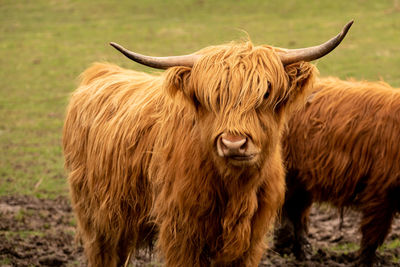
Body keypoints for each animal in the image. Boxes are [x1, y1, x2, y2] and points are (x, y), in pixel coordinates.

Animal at [63, 21, 354, 267]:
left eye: (266, 93)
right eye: (209, 98)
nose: (234, 144)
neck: (235, 190)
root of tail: (103, 72)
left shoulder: (251, 239)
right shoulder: (182, 235)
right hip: (97, 221)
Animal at [276, 76, 400, 266]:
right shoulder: (381, 190)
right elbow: (373, 235)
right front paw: (365, 262)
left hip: (302, 179)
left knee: (297, 211)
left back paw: (302, 253)